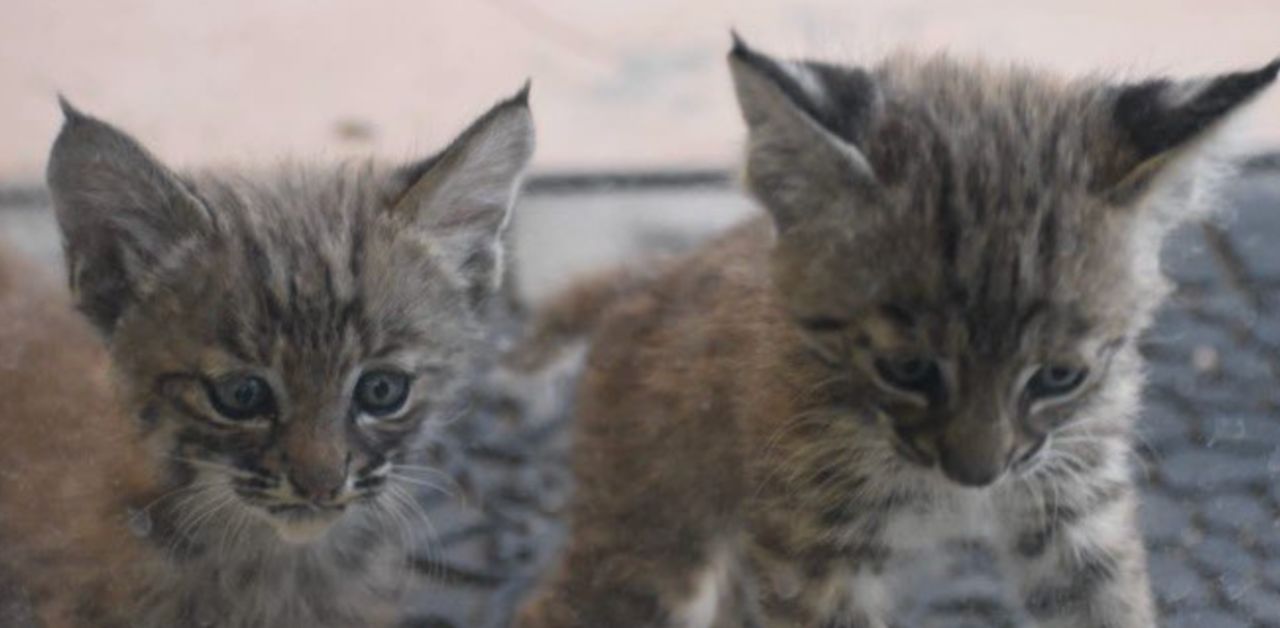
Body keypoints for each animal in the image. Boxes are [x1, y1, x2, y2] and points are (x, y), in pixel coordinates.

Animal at [514, 38, 1274, 628]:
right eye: (907, 370)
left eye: (1060, 377)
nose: (977, 476)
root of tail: (644, 277)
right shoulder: (814, 544)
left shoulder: (1073, 502)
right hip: (655, 538)